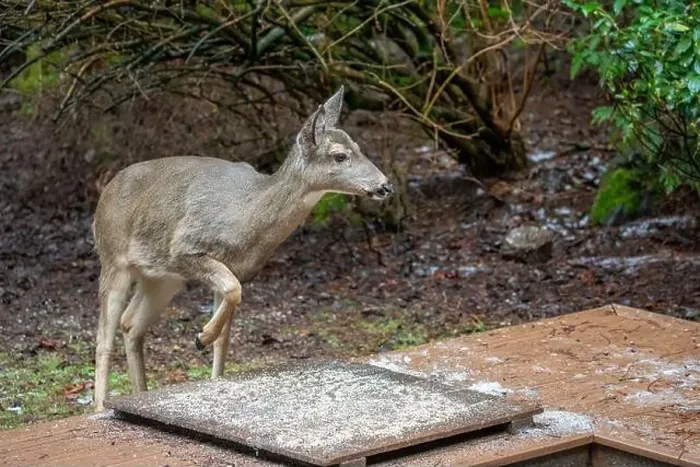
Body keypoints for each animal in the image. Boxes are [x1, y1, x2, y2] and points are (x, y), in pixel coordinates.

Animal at [91, 86, 393, 411]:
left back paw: (141, 393)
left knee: (131, 324)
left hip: (162, 278)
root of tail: (104, 194)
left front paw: (212, 363)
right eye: (339, 156)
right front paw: (201, 337)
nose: (385, 185)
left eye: (358, 146)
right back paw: (100, 407)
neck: (246, 219)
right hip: (113, 258)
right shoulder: (185, 247)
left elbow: (225, 333)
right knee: (104, 336)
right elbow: (233, 291)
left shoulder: (234, 268)